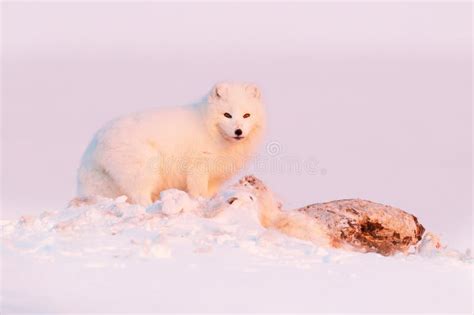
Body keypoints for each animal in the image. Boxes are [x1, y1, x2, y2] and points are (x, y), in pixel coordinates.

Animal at [76, 82, 264, 206]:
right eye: (227, 115)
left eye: (246, 115)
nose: (238, 131)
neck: (209, 127)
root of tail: (97, 141)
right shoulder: (198, 169)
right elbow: (198, 192)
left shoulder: (214, 178)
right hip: (144, 170)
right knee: (139, 196)